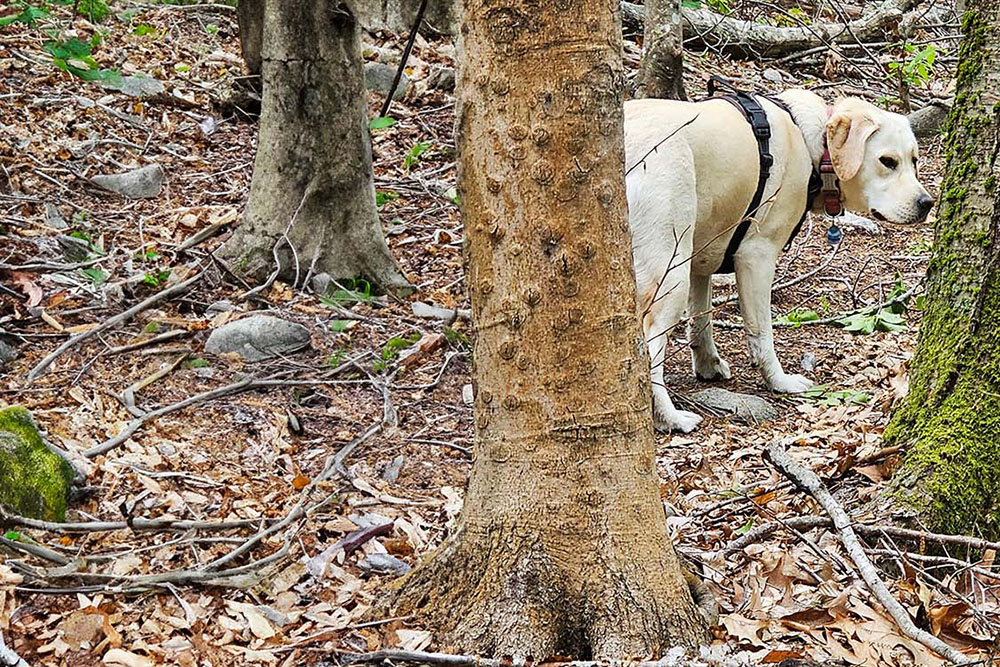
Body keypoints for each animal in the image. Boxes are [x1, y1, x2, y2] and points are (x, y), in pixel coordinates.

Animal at [628, 88, 932, 434]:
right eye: (887, 161)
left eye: (914, 160)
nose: (927, 203)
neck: (812, 146)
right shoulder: (756, 257)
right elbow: (762, 334)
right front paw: (779, 381)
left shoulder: (701, 257)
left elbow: (701, 322)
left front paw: (708, 365)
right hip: (669, 273)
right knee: (649, 350)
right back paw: (669, 416)